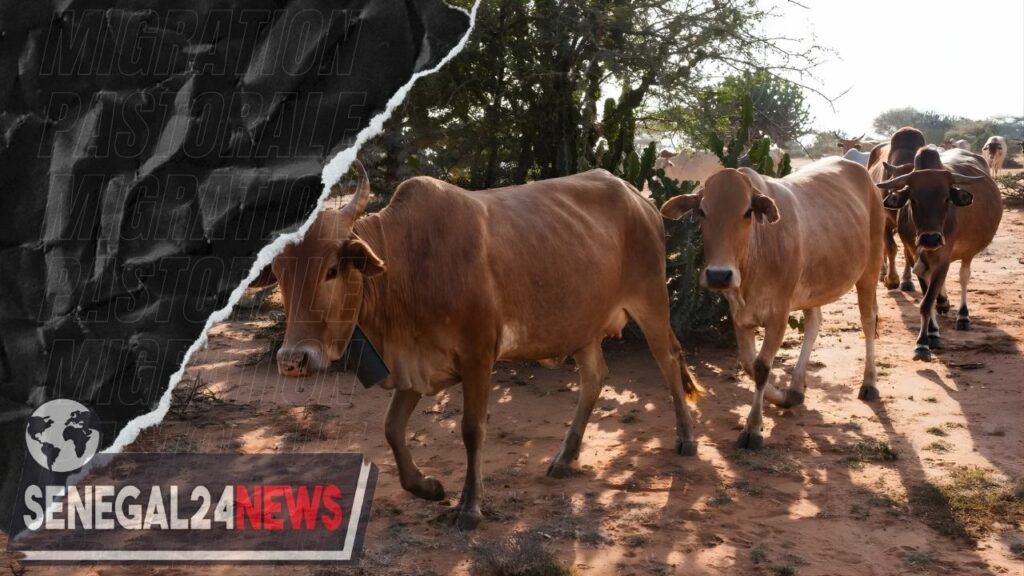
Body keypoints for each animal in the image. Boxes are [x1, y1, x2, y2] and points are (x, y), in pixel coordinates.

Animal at [258, 162, 703, 529]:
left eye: (332, 269)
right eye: (279, 271)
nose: (293, 360)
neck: (407, 264)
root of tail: (639, 199)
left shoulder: (477, 356)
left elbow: (471, 430)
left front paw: (470, 507)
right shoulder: (414, 365)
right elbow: (391, 430)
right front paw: (428, 487)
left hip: (651, 301)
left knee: (669, 361)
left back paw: (686, 439)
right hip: (582, 324)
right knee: (595, 377)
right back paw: (564, 457)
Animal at [659, 157, 884, 449]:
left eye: (747, 212)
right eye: (702, 212)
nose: (719, 275)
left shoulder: (779, 314)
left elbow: (762, 367)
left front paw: (753, 428)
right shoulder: (739, 314)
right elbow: (748, 364)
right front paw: (785, 398)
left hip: (870, 269)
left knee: (868, 321)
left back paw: (870, 383)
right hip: (813, 286)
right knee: (814, 323)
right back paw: (796, 386)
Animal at [877, 147, 1002, 361]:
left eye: (946, 198)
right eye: (913, 198)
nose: (931, 238)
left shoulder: (943, 258)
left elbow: (928, 301)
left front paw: (922, 344)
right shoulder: (915, 255)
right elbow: (928, 297)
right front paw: (932, 334)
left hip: (967, 253)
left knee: (964, 277)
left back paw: (963, 316)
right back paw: (944, 304)